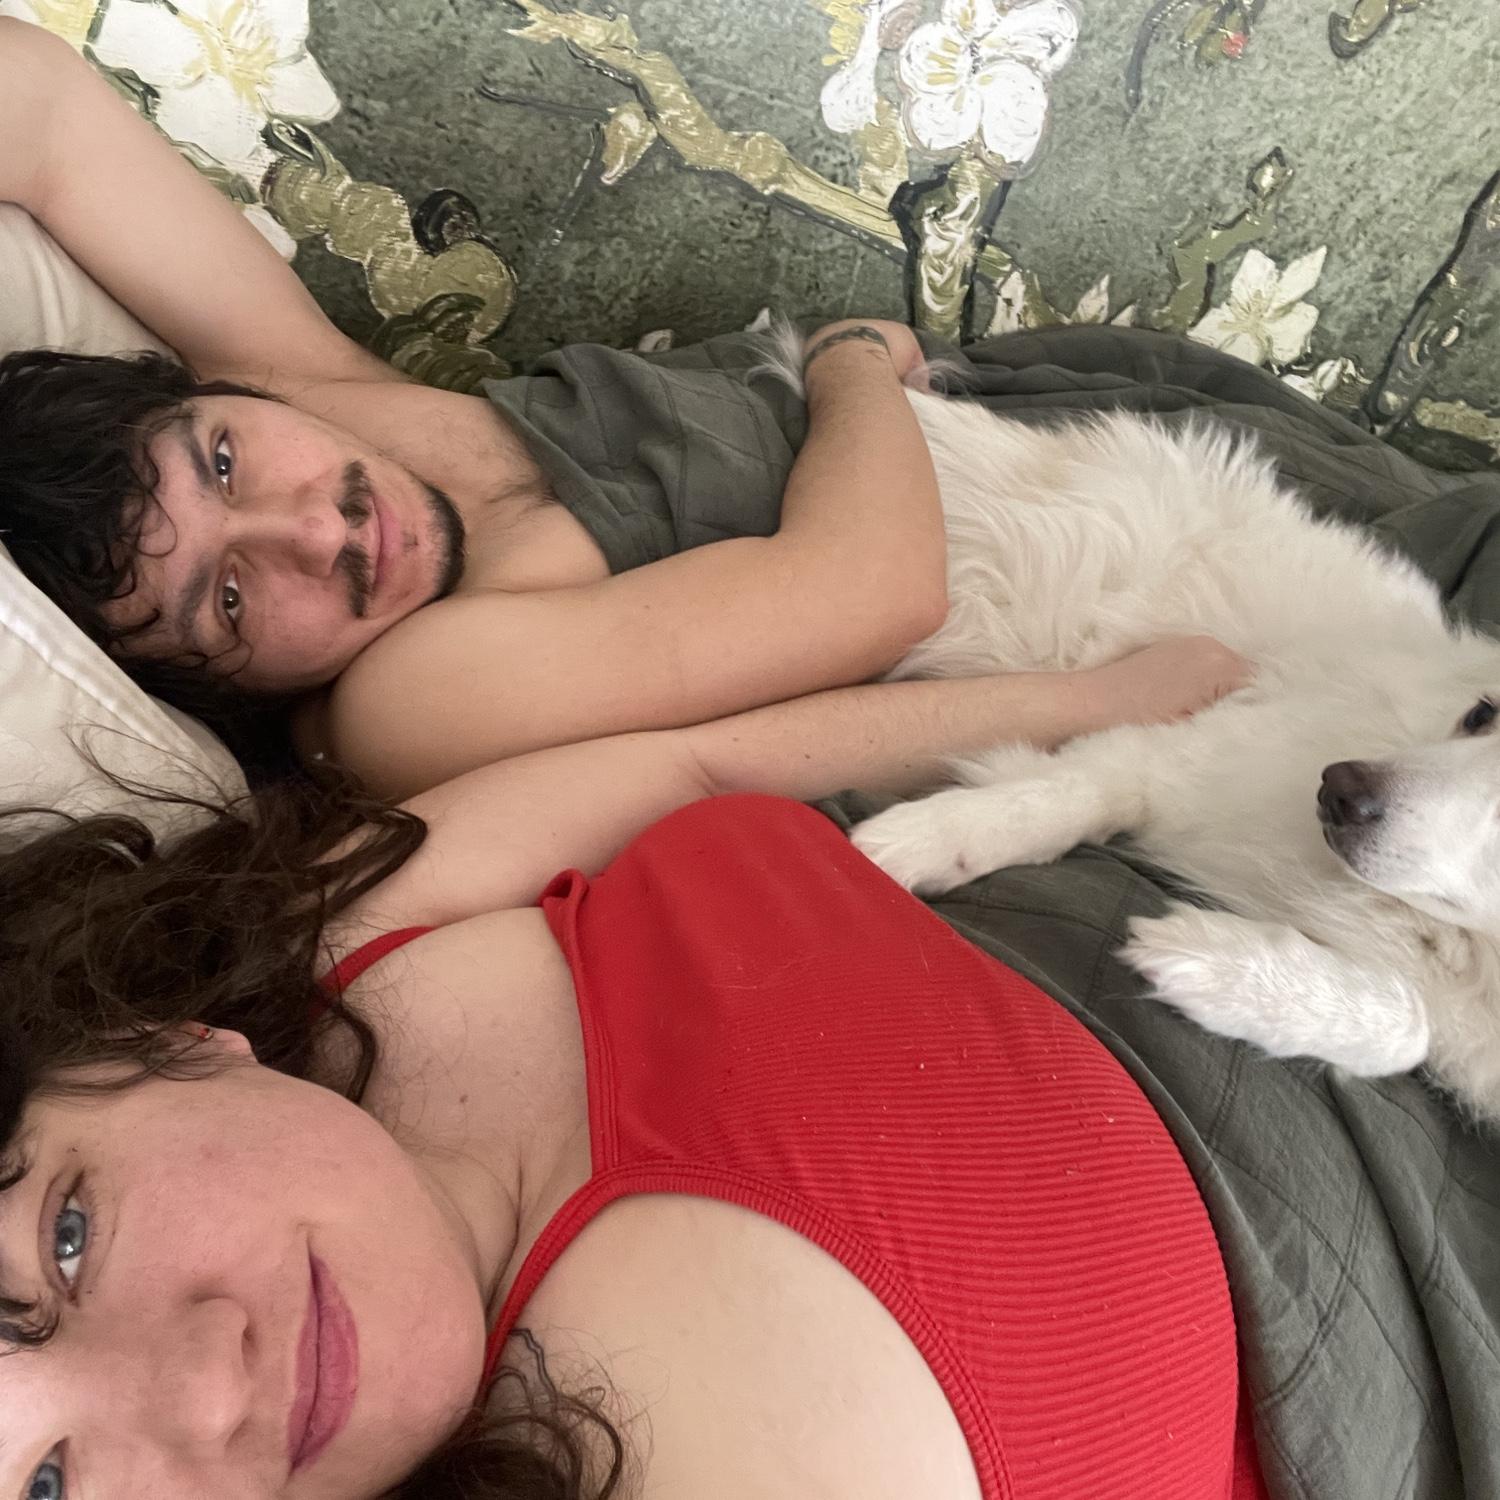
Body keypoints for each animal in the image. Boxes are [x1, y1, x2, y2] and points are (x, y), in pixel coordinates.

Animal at [766, 331, 1500, 1121]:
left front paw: (1218, 967)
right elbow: (1062, 796)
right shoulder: (1189, 740)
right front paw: (917, 843)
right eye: (1482, 714)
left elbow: (1408, 1026)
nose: (1338, 788)